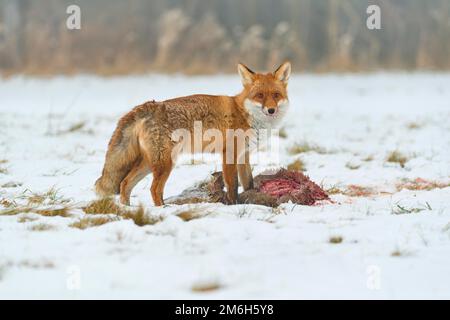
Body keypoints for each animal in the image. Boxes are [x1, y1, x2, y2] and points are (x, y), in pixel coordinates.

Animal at [95, 61, 292, 206]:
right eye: (260, 95)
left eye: (276, 95)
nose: (271, 110)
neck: (245, 114)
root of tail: (150, 105)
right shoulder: (229, 154)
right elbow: (233, 186)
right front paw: (233, 205)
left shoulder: (244, 155)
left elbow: (248, 183)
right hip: (165, 163)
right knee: (154, 189)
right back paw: (162, 210)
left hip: (149, 163)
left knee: (125, 183)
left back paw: (126, 210)